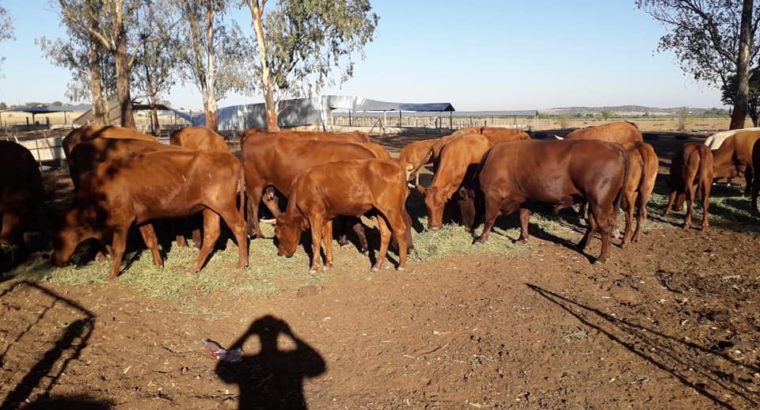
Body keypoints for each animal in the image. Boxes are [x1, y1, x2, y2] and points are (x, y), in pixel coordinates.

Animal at [52, 150, 248, 278]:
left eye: (58, 238)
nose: (54, 260)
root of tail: (233, 159)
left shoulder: (123, 223)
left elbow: (118, 248)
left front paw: (112, 275)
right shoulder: (142, 219)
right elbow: (151, 240)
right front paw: (159, 264)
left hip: (224, 206)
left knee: (239, 227)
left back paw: (242, 263)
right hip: (210, 209)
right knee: (211, 234)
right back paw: (193, 268)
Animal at [274, 159, 410, 273]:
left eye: (278, 234)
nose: (280, 253)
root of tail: (396, 165)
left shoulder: (315, 214)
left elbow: (316, 240)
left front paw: (314, 266)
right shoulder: (327, 217)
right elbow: (327, 239)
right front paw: (328, 263)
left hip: (391, 209)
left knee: (400, 229)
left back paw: (401, 265)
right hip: (380, 211)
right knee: (386, 233)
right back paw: (377, 265)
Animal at [467, 139, 629, 263]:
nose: (467, 227)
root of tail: (612, 145)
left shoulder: (492, 196)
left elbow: (489, 218)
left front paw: (481, 238)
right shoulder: (525, 198)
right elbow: (523, 218)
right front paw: (522, 239)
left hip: (599, 202)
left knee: (605, 228)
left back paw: (601, 257)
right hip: (593, 203)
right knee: (594, 225)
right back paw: (581, 245)